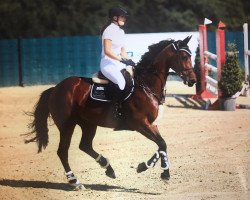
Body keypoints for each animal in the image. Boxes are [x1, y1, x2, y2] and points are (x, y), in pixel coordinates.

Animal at [26, 36, 196, 191]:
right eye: (184, 56)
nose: (193, 81)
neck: (146, 85)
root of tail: (55, 88)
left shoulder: (151, 124)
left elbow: (161, 144)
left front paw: (146, 167)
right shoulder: (140, 124)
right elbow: (161, 143)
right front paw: (163, 173)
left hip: (88, 124)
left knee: (85, 145)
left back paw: (108, 168)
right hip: (67, 126)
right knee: (63, 151)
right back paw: (75, 182)